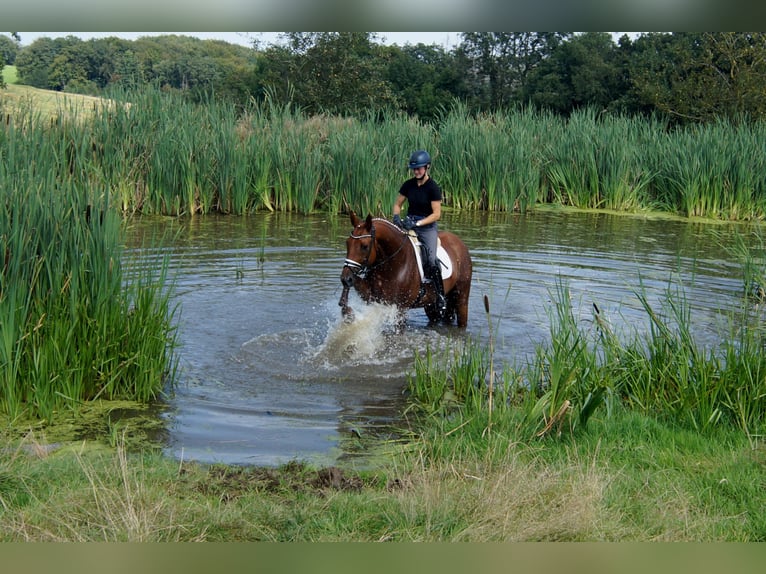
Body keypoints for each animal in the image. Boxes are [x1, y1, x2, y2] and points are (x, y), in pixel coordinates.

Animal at [338, 212, 472, 328]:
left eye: (364, 246)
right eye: (347, 243)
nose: (345, 278)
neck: (394, 263)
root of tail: (458, 241)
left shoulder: (400, 309)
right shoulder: (373, 298)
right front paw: (346, 308)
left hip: (461, 298)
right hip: (432, 305)